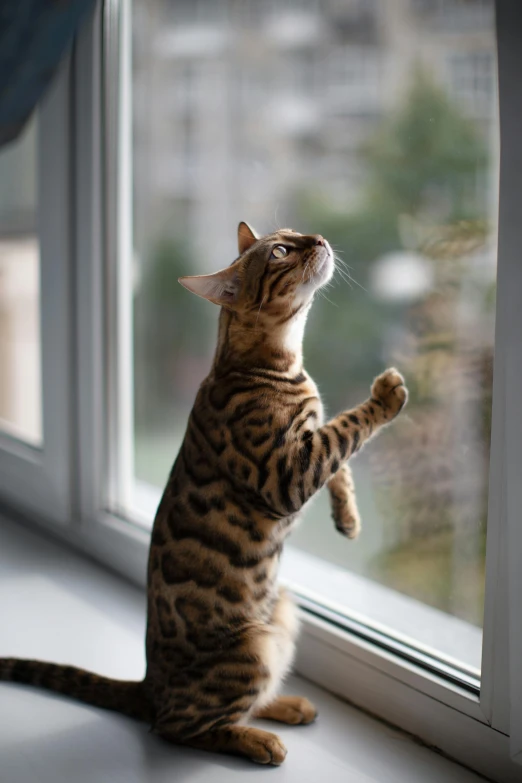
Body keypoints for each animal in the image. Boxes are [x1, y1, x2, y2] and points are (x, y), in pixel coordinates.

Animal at [0, 224, 406, 768]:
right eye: (280, 251)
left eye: (290, 233)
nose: (318, 238)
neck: (281, 360)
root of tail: (148, 684)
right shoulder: (287, 474)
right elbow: (346, 430)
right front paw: (385, 396)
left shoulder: (310, 448)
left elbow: (337, 454)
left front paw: (348, 518)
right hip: (251, 648)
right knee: (179, 726)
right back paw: (259, 741)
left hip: (283, 610)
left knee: (235, 704)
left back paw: (287, 705)